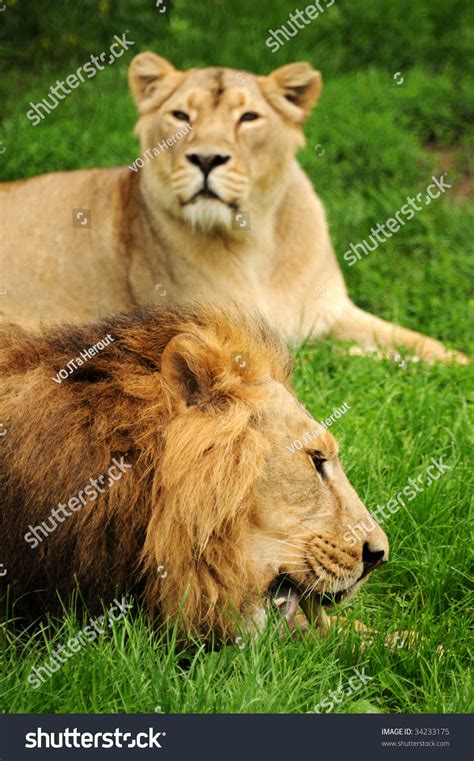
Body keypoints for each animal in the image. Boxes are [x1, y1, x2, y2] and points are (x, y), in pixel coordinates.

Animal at [0, 55, 466, 364]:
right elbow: (341, 356)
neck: (255, 240)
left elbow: (422, 344)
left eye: (249, 117)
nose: (206, 159)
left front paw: (456, 366)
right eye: (180, 116)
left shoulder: (333, 311)